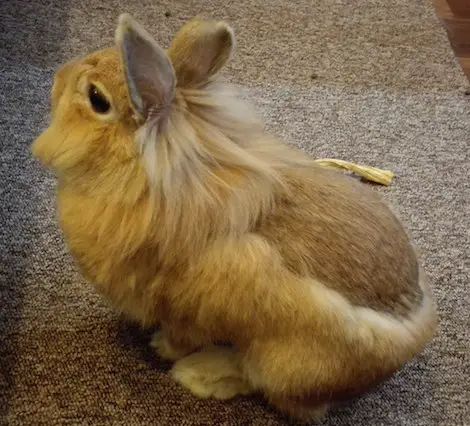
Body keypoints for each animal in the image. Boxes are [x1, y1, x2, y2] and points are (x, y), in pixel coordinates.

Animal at [32, 13, 436, 422]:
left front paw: (163, 348)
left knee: (259, 380)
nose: (57, 76)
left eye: (97, 98)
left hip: (284, 359)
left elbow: (180, 336)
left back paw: (200, 374)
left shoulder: (183, 309)